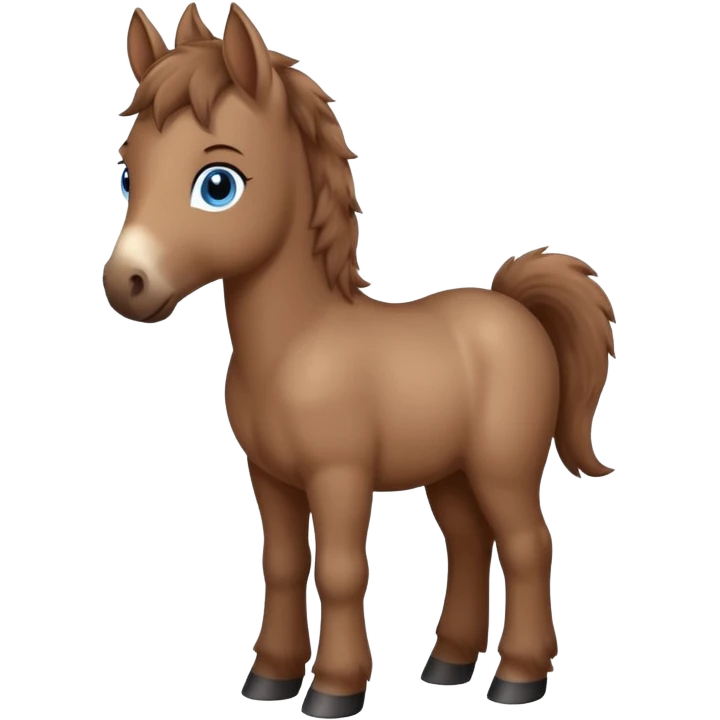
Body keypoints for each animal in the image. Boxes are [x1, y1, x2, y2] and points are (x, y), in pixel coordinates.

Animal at [104, 3, 616, 715]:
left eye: (218, 184)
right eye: (129, 173)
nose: (127, 283)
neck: (297, 345)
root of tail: (515, 308)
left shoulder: (338, 475)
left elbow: (342, 571)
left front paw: (335, 689)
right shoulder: (270, 477)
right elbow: (283, 565)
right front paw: (270, 677)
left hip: (503, 466)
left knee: (528, 546)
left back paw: (519, 676)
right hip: (450, 473)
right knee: (469, 545)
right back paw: (448, 665)